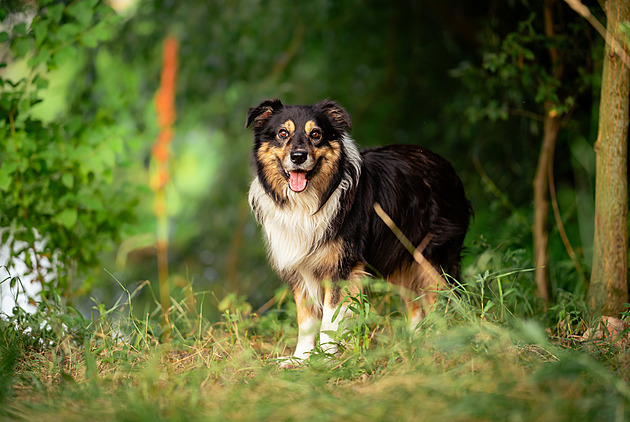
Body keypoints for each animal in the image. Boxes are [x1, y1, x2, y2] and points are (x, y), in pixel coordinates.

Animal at [244, 99, 472, 362]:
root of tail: (447, 166)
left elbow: (330, 320)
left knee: (441, 302)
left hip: (433, 262)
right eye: (283, 133)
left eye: (316, 134)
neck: (309, 201)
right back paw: (413, 343)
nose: (298, 156)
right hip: (403, 260)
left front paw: (325, 358)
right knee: (416, 305)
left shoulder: (342, 268)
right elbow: (306, 319)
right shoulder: (299, 266)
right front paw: (301, 358)